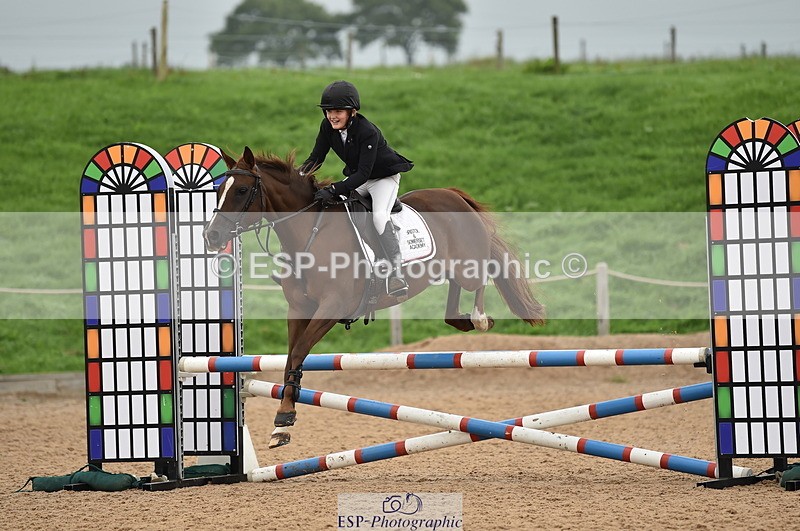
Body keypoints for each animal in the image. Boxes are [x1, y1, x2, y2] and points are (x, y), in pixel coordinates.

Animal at [204, 146, 545, 448]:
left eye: (242, 190)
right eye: (219, 191)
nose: (211, 236)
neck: (310, 234)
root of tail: (453, 193)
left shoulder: (333, 306)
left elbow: (299, 352)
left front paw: (284, 417)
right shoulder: (299, 308)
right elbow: (291, 358)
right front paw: (282, 425)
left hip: (467, 265)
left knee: (483, 270)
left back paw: (479, 318)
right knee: (456, 292)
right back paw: (462, 321)